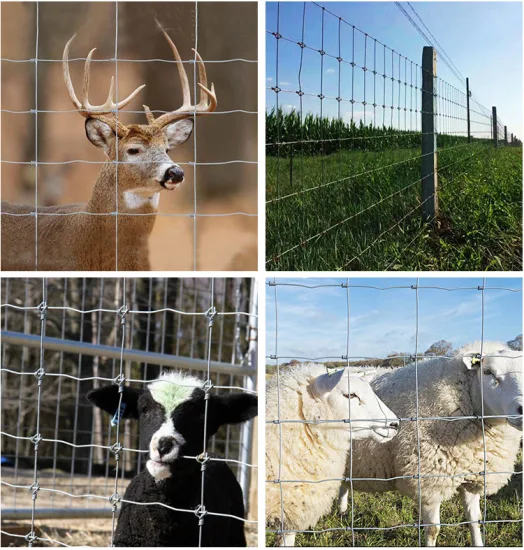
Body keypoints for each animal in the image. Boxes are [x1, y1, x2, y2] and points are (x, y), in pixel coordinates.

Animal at [338, 342, 520, 548]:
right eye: (488, 372)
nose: (521, 409)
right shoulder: (428, 482)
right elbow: (433, 530)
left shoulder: (472, 475)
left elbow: (474, 519)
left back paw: (342, 510)